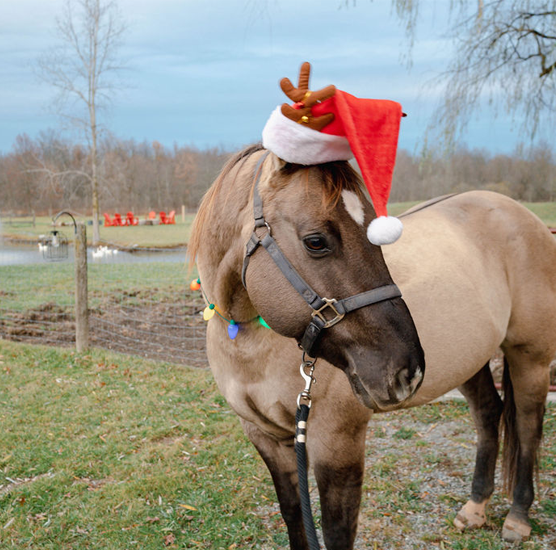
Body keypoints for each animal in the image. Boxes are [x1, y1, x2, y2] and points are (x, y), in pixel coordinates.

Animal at [188, 146, 556, 550]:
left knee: (527, 426)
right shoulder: (267, 438)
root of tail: (519, 213)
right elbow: (293, 516)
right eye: (315, 241)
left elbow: (337, 531)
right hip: (471, 360)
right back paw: (475, 508)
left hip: (531, 357)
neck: (250, 344)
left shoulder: (337, 444)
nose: (407, 370)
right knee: (489, 414)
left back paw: (518, 516)